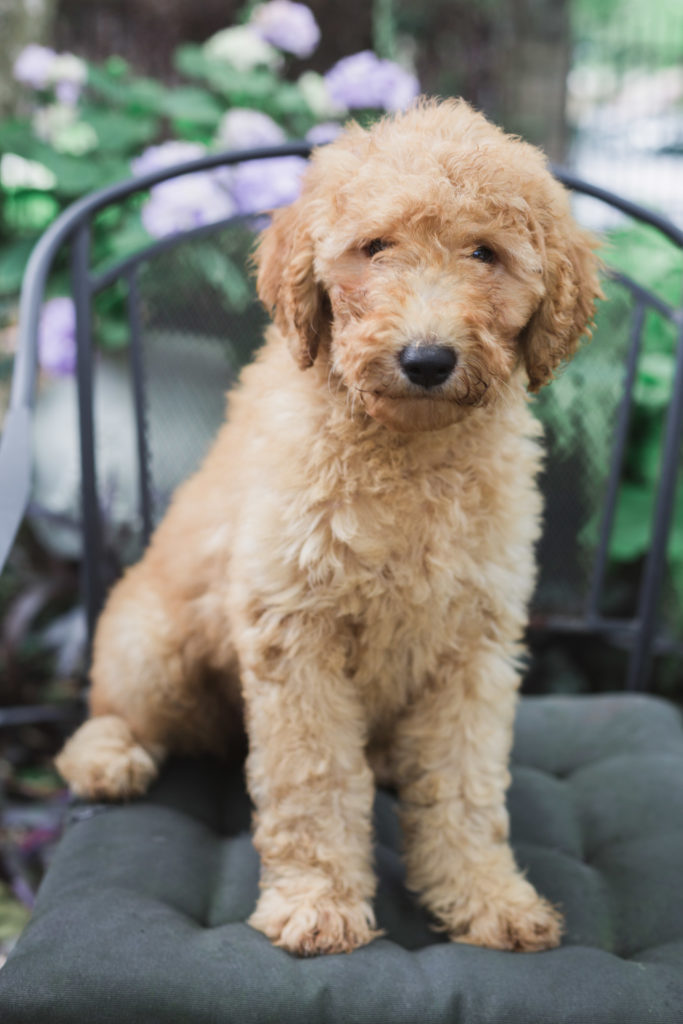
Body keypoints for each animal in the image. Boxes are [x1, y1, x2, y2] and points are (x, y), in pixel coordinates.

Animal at [58, 99, 602, 954]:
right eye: (374, 248)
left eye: (485, 253)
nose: (426, 359)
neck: (406, 449)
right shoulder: (294, 628)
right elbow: (312, 777)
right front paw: (318, 901)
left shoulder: (474, 639)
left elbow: (466, 783)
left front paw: (486, 896)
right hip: (153, 644)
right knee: (115, 708)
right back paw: (109, 758)